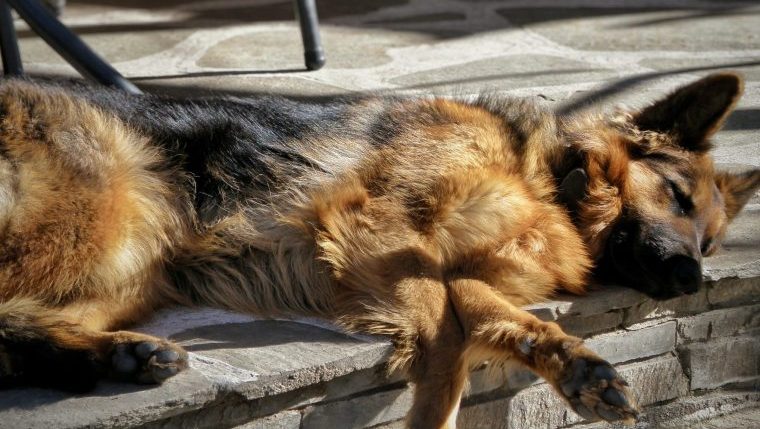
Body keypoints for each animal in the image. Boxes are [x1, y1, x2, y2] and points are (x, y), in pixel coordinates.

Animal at [1, 72, 760, 426]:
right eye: (677, 197)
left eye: (711, 239)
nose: (692, 278)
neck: (546, 176)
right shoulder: (385, 228)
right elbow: (447, 341)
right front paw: (433, 417)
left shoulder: (462, 274)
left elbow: (504, 322)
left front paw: (581, 366)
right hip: (99, 218)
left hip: (134, 265)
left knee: (12, 323)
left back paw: (119, 356)